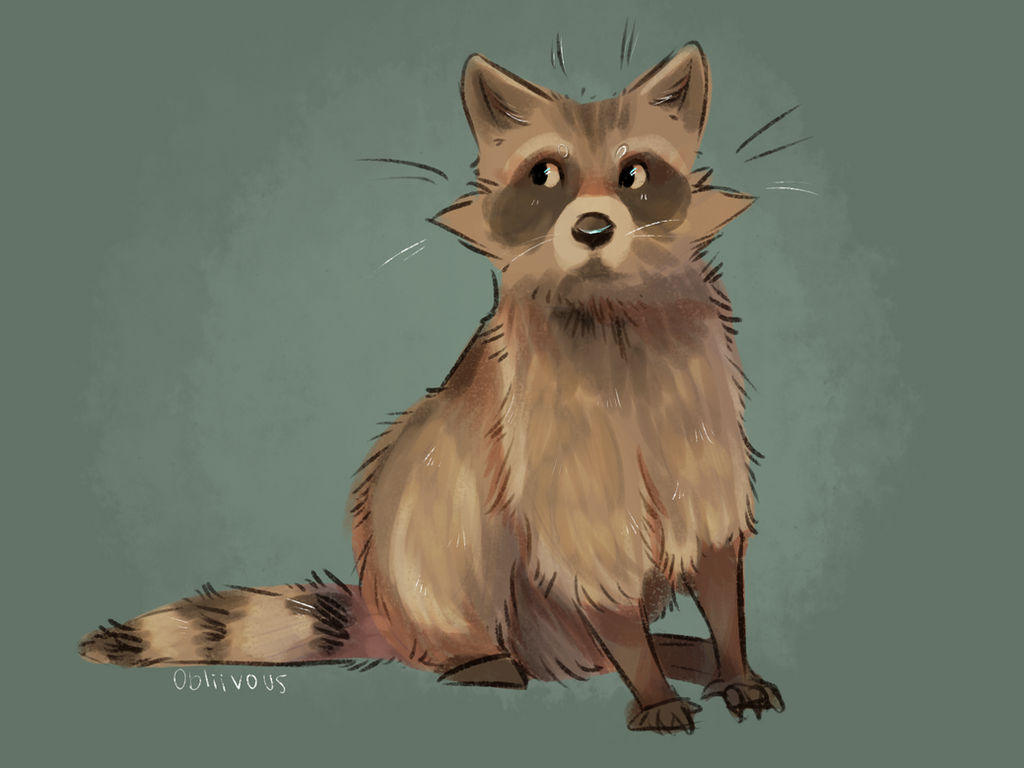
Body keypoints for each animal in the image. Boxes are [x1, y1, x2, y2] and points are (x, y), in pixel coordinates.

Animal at [80, 42, 783, 734]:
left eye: (635, 175)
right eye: (544, 176)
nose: (591, 229)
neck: (610, 305)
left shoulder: (702, 412)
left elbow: (716, 550)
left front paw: (733, 659)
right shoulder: (553, 445)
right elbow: (594, 560)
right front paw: (649, 683)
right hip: (427, 526)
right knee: (441, 515)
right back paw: (495, 656)